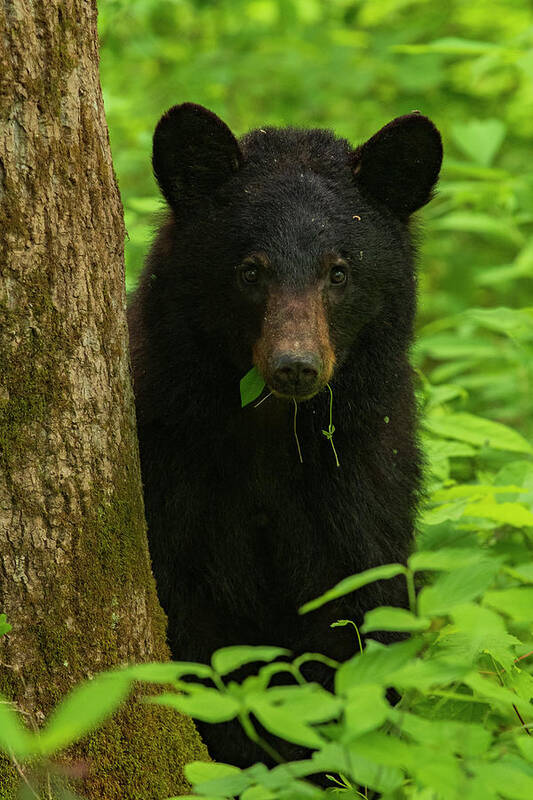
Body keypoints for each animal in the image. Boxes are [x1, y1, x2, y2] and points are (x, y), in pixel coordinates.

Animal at [128, 103, 440, 764]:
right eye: (251, 270)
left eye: (339, 272)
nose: (295, 365)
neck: (273, 430)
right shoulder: (174, 468)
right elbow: (203, 647)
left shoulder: (361, 480)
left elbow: (360, 625)